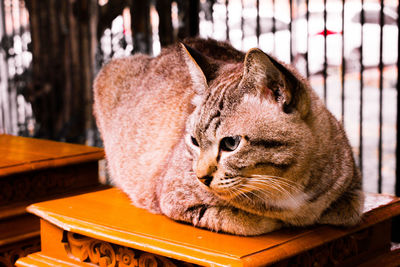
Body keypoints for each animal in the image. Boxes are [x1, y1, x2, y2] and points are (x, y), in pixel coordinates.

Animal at [93, 38, 362, 237]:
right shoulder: (171, 197)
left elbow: (346, 212)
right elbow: (250, 221)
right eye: (194, 141)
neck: (289, 184)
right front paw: (280, 220)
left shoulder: (352, 189)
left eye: (231, 144)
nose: (201, 177)